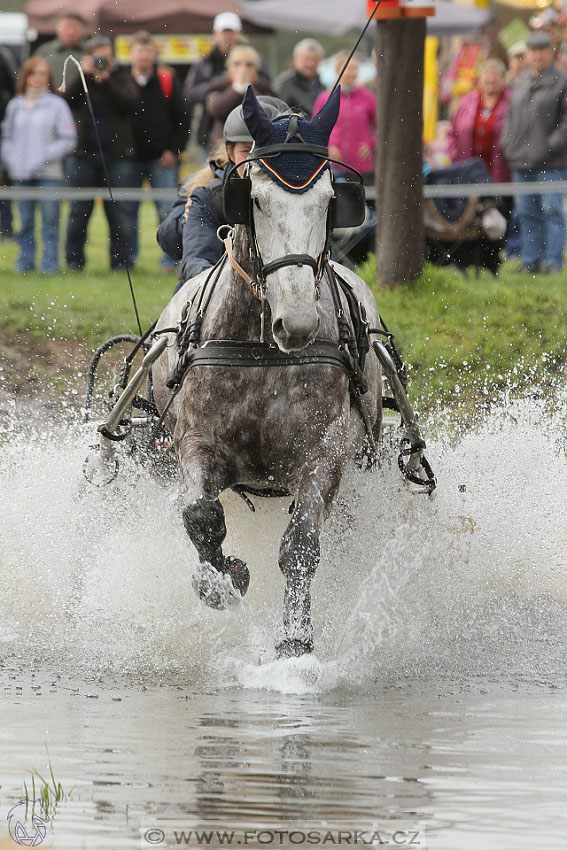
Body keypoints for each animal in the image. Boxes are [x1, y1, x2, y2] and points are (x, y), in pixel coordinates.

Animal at [152, 88, 382, 656]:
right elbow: (202, 518)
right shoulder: (197, 442)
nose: (296, 321)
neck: (262, 350)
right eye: (254, 198)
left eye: (329, 200)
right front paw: (225, 577)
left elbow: (301, 545)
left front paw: (295, 643)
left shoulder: (324, 453)